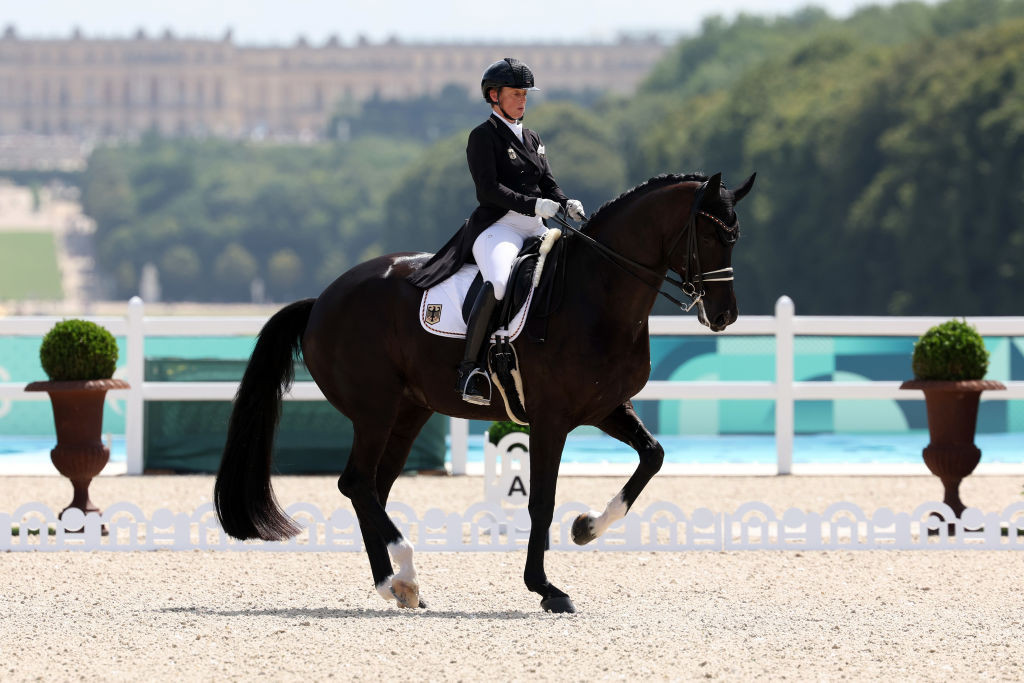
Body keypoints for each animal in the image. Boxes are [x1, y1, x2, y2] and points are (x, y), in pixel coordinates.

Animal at [216, 169, 757, 614]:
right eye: (712, 233)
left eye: (736, 237)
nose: (724, 315)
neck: (596, 295)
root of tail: (323, 300)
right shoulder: (551, 419)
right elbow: (541, 501)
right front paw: (546, 589)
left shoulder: (606, 408)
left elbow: (653, 456)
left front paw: (586, 527)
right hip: (375, 410)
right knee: (356, 483)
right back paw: (405, 574)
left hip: (407, 412)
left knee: (372, 487)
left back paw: (395, 585)